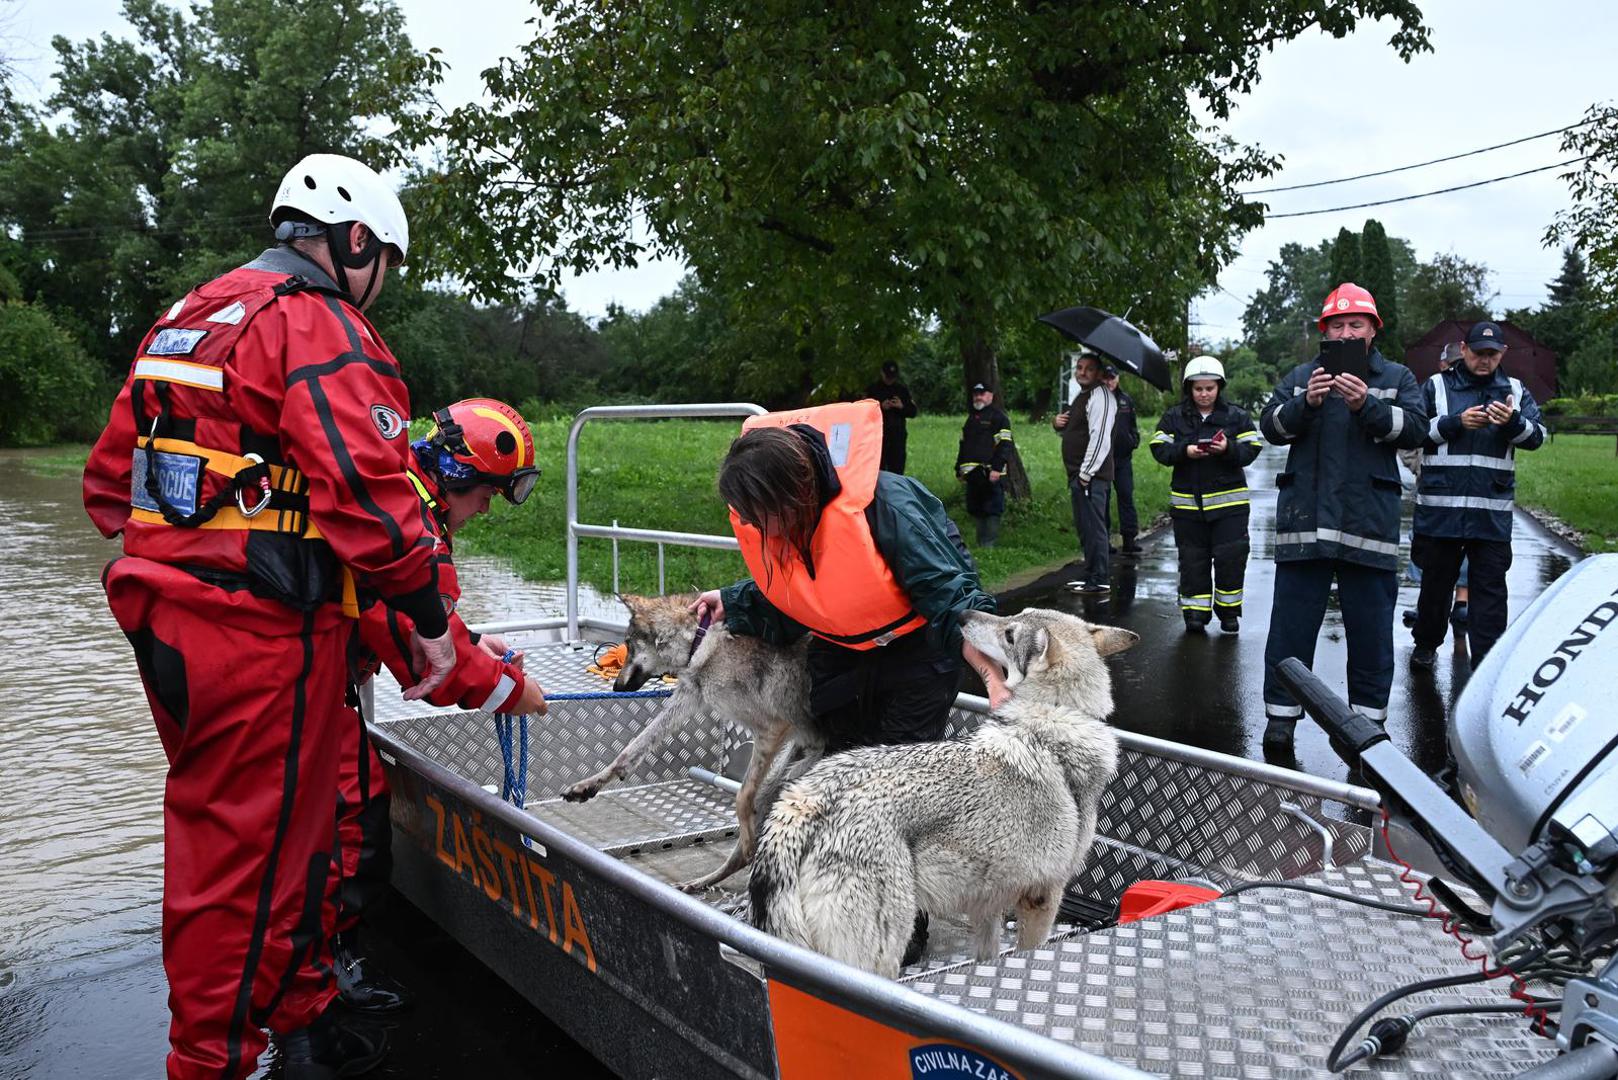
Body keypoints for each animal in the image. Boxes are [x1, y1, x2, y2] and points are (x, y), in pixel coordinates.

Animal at [566, 595, 821, 893]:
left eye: (628, 644)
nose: (617, 688)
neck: (703, 643)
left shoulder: (771, 730)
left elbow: (741, 795)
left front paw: (748, 839)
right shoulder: (690, 697)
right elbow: (631, 749)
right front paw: (588, 785)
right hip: (780, 783)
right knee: (739, 858)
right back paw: (699, 883)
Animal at [747, 608, 1139, 977]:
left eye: (1010, 633)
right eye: (1013, 620)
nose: (963, 615)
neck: (1060, 713)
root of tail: (804, 802)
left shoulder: (988, 904)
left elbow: (987, 956)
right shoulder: (1044, 897)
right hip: (878, 953)